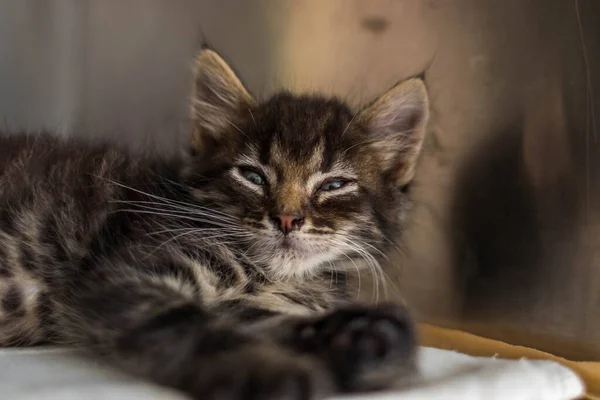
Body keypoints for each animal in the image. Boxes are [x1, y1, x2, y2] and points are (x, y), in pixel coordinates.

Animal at [0, 50, 432, 400]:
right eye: (253, 176)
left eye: (334, 185)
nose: (287, 218)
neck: (272, 277)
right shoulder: (124, 275)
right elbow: (190, 325)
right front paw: (267, 371)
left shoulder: (249, 306)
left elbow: (271, 322)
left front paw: (367, 339)